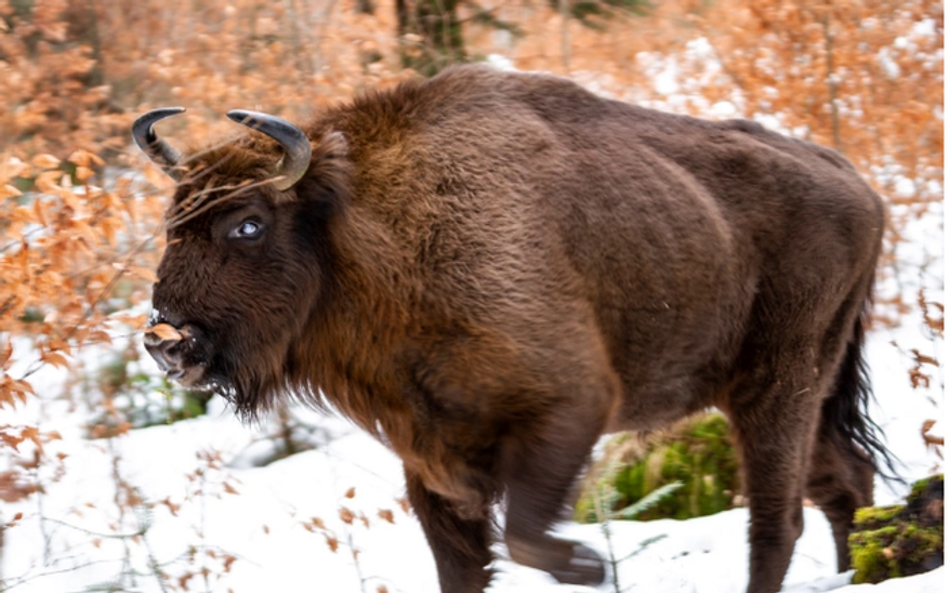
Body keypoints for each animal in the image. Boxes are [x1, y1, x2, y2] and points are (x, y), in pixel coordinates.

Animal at [137, 65, 892, 592]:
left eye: (248, 224)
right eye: (172, 224)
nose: (166, 340)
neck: (367, 237)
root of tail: (857, 183)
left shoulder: (571, 407)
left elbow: (526, 535)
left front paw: (589, 565)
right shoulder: (432, 464)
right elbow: (466, 567)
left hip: (777, 385)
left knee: (778, 518)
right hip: (795, 389)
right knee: (843, 482)